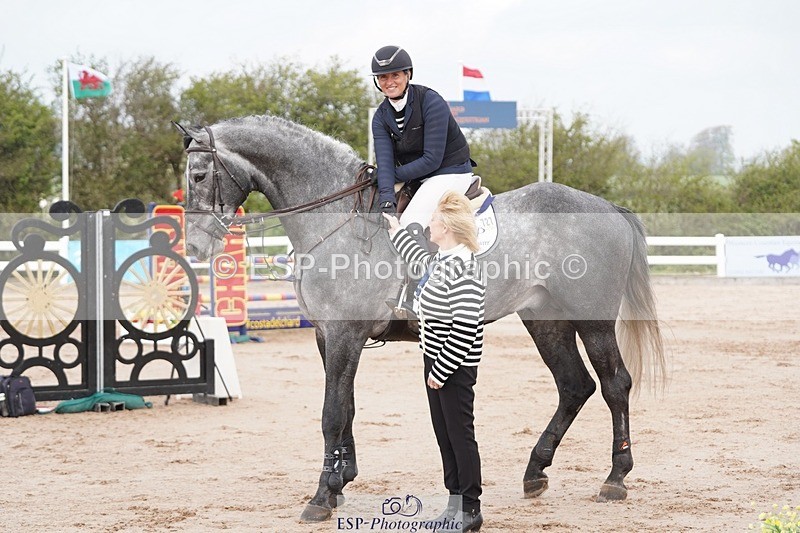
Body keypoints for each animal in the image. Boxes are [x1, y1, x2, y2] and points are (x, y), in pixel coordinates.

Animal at [174, 115, 665, 522]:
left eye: (199, 175)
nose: (195, 247)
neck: (332, 219)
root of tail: (608, 208)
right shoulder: (327, 336)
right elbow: (347, 407)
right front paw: (340, 483)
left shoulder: (345, 334)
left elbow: (332, 413)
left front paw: (320, 497)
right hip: (545, 319)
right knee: (574, 385)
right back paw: (535, 472)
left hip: (592, 321)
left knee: (614, 384)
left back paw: (615, 478)